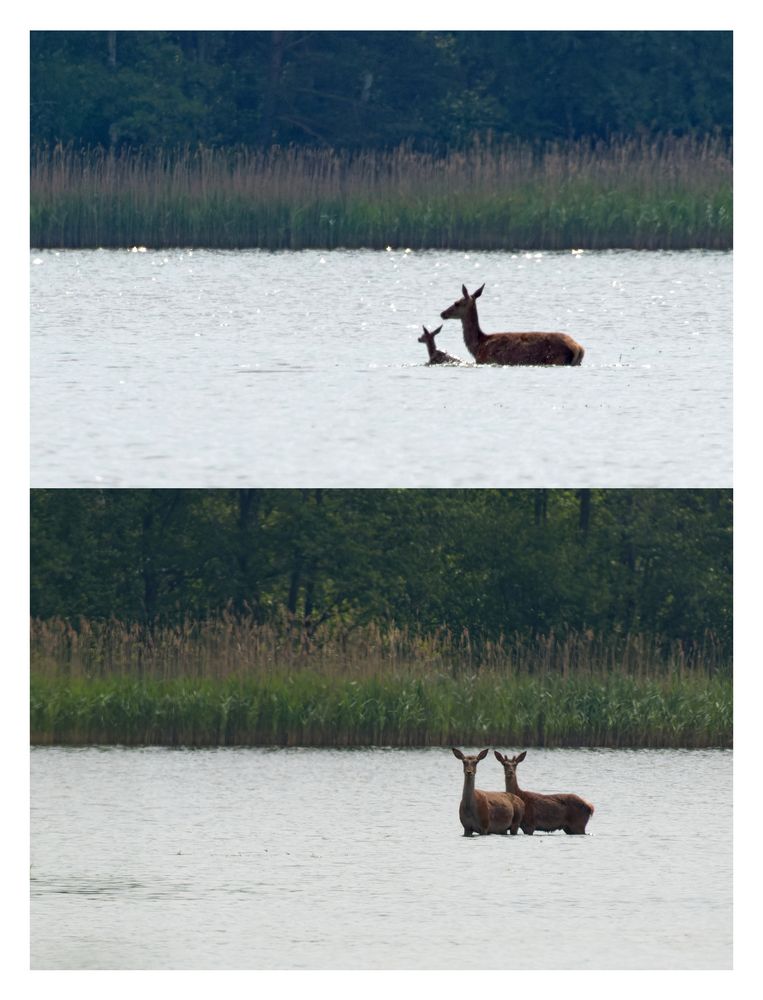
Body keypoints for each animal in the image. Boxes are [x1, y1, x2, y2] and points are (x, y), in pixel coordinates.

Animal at [442, 284, 584, 366]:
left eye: (456, 303)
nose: (442, 313)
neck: (478, 345)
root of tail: (578, 348)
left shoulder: (485, 360)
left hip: (556, 359)